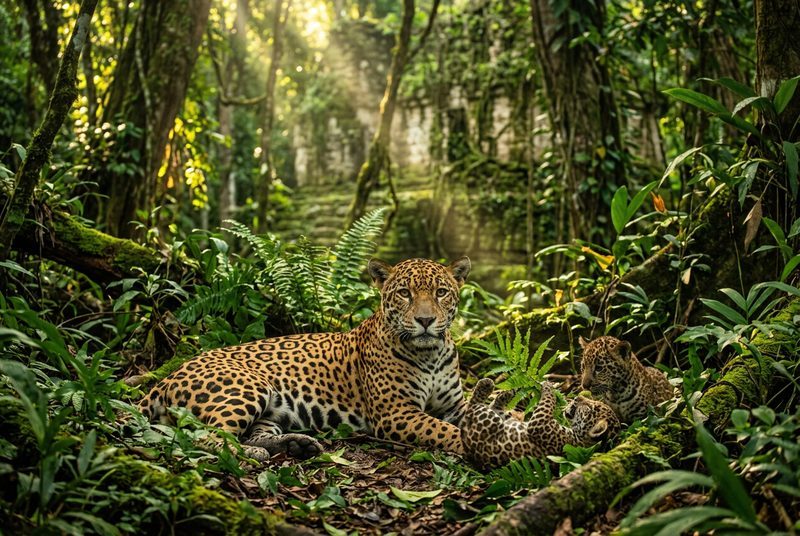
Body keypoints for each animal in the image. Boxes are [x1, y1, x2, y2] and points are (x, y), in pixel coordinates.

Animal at [137, 257, 472, 461]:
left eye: (441, 292)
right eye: (404, 293)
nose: (425, 320)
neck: (430, 354)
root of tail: (168, 375)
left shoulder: (454, 405)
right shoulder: (397, 413)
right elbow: (442, 430)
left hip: (273, 413)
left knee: (251, 434)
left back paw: (295, 444)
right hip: (248, 386)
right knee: (205, 436)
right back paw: (248, 456)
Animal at [460, 378, 620, 469]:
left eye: (590, 408)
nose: (577, 398)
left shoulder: (539, 424)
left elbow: (547, 402)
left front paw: (548, 385)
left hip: (489, 421)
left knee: (473, 406)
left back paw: (485, 385)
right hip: (505, 419)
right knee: (494, 406)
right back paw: (507, 391)